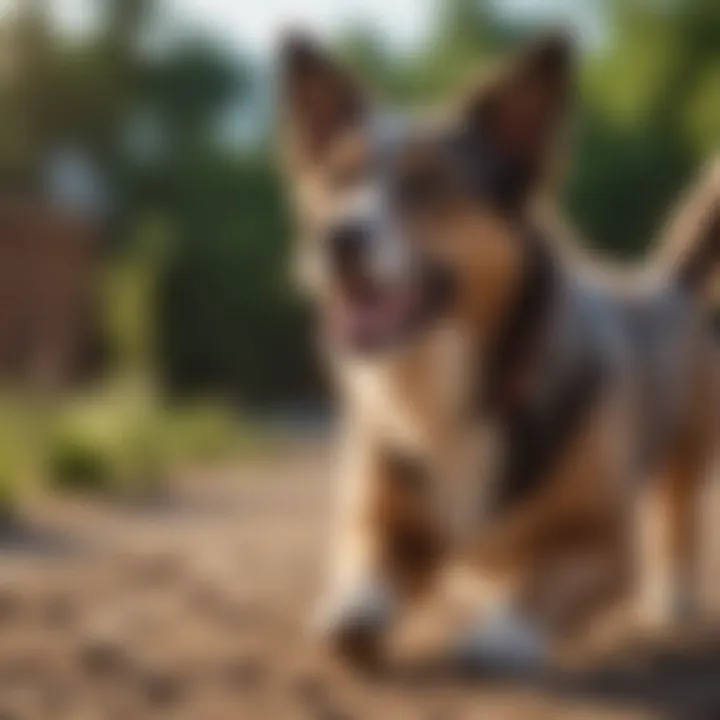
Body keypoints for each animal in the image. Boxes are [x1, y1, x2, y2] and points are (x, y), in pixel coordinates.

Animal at [278, 28, 720, 668]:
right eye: (339, 180)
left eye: (427, 184)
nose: (334, 236)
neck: (447, 383)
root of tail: (666, 283)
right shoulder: (381, 520)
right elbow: (366, 566)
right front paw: (353, 610)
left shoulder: (602, 543)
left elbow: (544, 580)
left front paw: (500, 632)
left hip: (688, 453)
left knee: (677, 517)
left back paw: (672, 599)